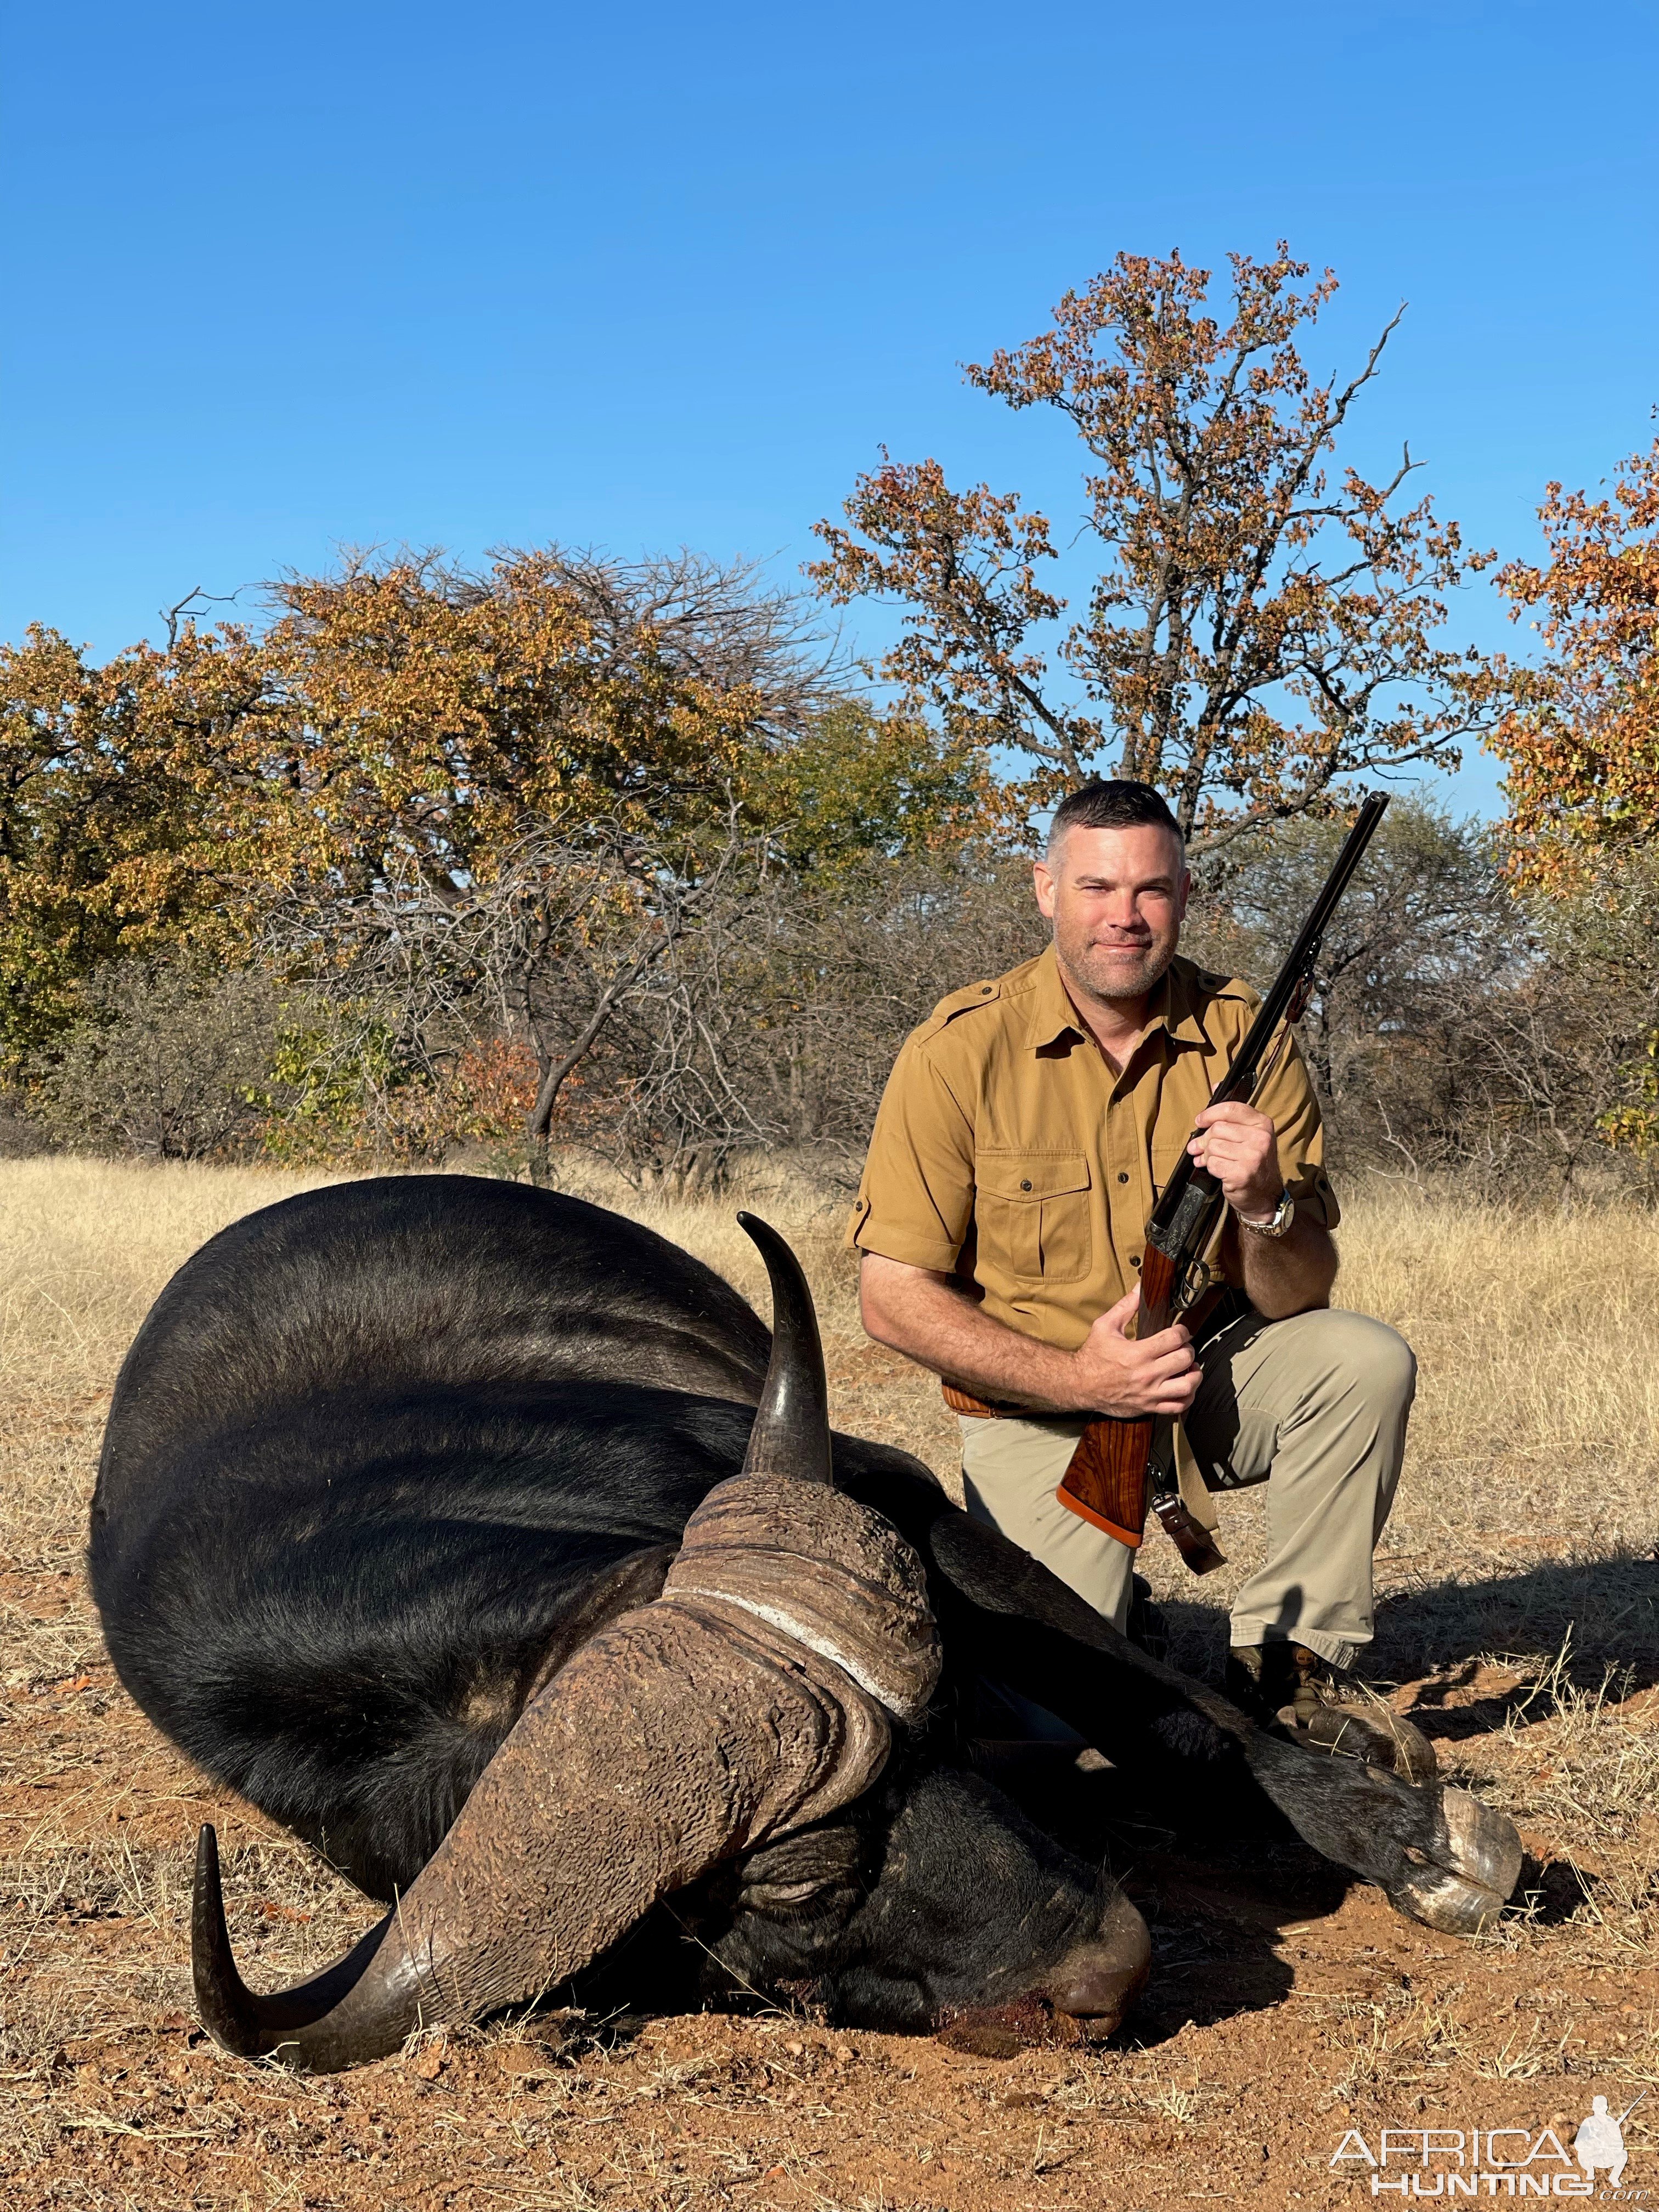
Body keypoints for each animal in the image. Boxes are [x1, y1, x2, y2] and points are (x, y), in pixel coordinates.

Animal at [88, 1186, 1522, 2061]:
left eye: (934, 1727)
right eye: (791, 1891)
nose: (1107, 1973)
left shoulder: (909, 1504)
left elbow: (1174, 1718)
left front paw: (1411, 1838)